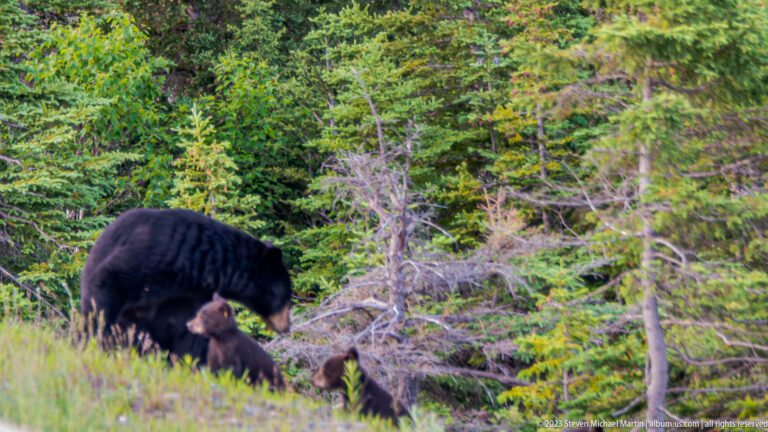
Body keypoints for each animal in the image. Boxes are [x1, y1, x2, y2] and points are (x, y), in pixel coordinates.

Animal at [80, 208, 292, 363]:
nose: (287, 327)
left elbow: (187, 332)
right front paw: (96, 338)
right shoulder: (150, 257)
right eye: (286, 297)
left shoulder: (186, 296)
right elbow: (108, 284)